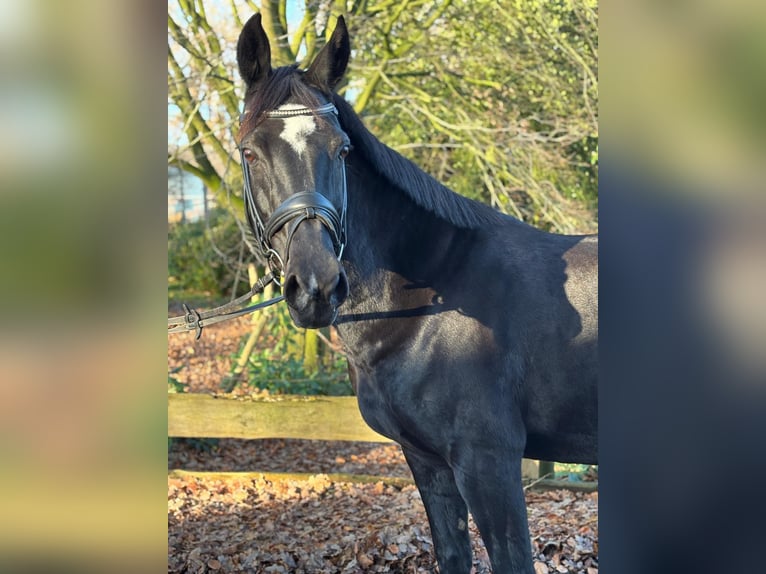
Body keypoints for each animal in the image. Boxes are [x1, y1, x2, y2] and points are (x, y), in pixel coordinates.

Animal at [237, 14, 596, 574]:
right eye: (251, 151)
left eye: (341, 149)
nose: (317, 285)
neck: (428, 305)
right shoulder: (429, 462)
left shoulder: (489, 463)